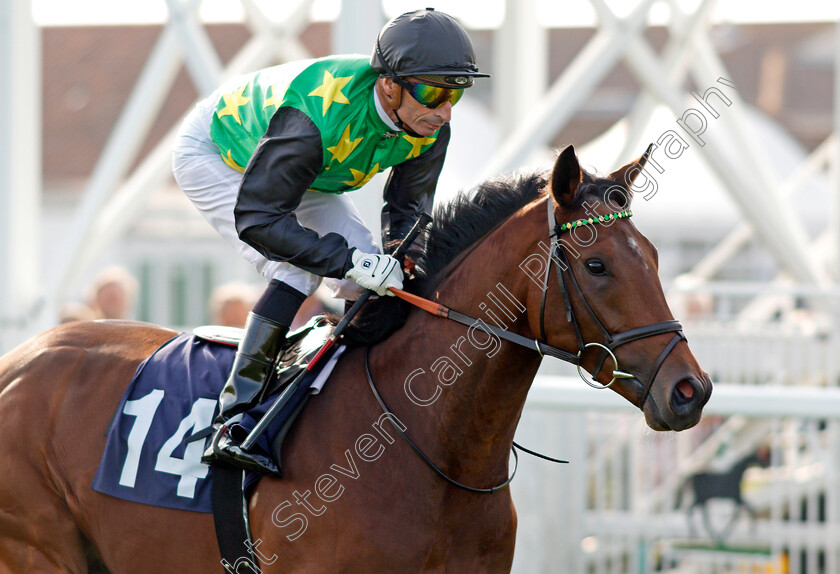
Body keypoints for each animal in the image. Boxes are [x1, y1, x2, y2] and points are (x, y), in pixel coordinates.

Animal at [0, 146, 708, 572]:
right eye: (597, 265)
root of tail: (19, 360)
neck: (429, 441)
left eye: (652, 254)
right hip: (38, 550)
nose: (689, 390)